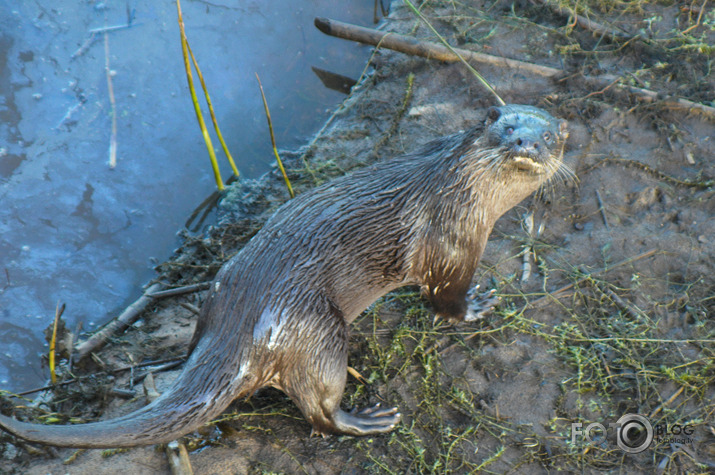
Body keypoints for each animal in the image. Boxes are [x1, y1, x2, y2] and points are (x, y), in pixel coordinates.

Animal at [0, 104, 572, 450]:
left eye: (548, 135)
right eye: (507, 128)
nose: (528, 143)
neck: (466, 188)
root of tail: (236, 328)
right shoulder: (451, 243)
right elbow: (445, 298)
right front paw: (476, 305)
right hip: (317, 329)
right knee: (318, 405)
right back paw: (363, 420)